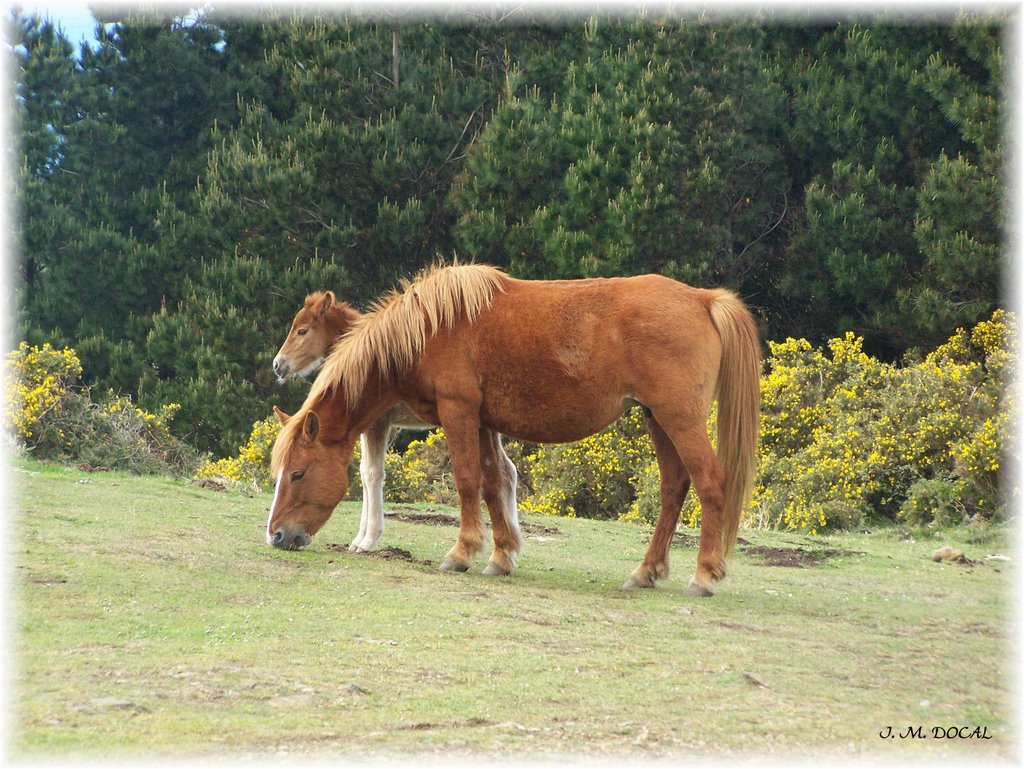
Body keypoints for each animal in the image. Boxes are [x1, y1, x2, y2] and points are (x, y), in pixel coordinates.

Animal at [272, 290, 520, 557]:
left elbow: (371, 473)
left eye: (302, 331)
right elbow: (365, 473)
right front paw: (359, 538)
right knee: (507, 472)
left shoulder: (377, 424)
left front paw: (366, 540)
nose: (278, 364)